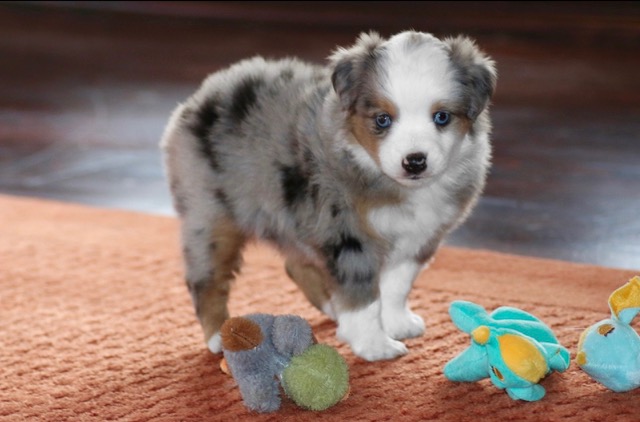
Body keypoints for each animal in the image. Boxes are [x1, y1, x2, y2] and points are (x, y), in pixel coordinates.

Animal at [162, 30, 498, 360]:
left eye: (442, 117)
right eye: (382, 119)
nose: (415, 161)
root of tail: (205, 93)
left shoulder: (420, 237)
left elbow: (396, 284)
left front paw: (396, 322)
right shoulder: (348, 235)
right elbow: (363, 296)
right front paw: (374, 345)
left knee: (296, 265)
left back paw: (333, 308)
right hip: (210, 214)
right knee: (207, 279)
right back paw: (219, 335)